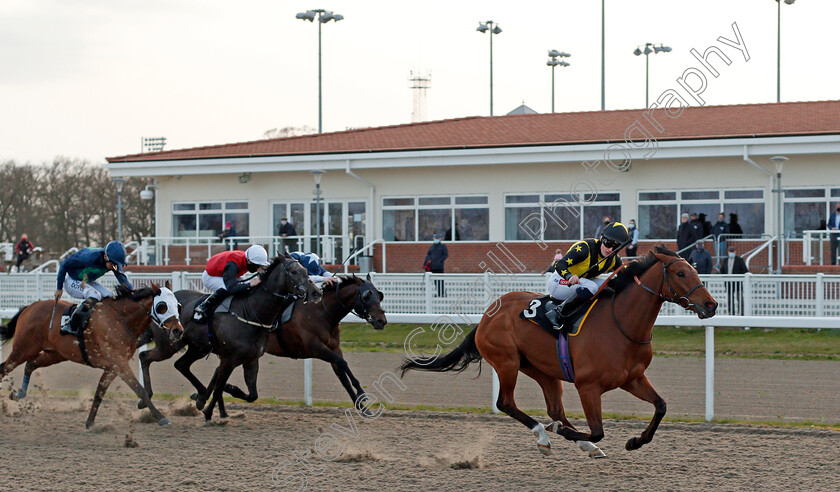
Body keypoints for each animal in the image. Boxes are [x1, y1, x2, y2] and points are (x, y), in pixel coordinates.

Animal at [0, 282, 183, 428]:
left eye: (178, 305)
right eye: (162, 306)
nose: (178, 331)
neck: (120, 319)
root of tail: (29, 307)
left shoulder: (113, 366)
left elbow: (99, 392)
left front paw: (90, 422)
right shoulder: (119, 363)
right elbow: (140, 389)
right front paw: (161, 417)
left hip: (54, 354)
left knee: (30, 364)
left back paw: (19, 394)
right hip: (23, 349)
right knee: (5, 368)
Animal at [138, 274, 388, 414]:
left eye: (380, 294)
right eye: (366, 295)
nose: (381, 321)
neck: (320, 312)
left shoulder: (333, 347)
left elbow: (343, 373)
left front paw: (362, 405)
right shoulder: (315, 348)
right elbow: (343, 365)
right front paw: (363, 398)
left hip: (200, 348)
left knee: (193, 368)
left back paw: (201, 398)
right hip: (169, 345)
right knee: (146, 358)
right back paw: (148, 397)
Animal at [171, 254, 318, 418]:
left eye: (306, 270)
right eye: (293, 271)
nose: (315, 292)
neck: (250, 312)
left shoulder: (251, 360)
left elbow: (252, 395)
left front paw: (228, 391)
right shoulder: (228, 359)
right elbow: (219, 388)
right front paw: (209, 413)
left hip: (198, 348)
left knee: (181, 365)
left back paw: (201, 396)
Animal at [404, 248, 720, 460]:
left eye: (695, 270)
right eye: (681, 273)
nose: (711, 305)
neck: (621, 323)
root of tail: (485, 317)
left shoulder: (633, 378)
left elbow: (661, 406)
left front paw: (635, 441)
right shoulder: (588, 386)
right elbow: (597, 428)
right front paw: (568, 434)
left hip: (542, 370)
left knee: (555, 409)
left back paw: (579, 443)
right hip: (507, 362)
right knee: (506, 403)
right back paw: (545, 435)